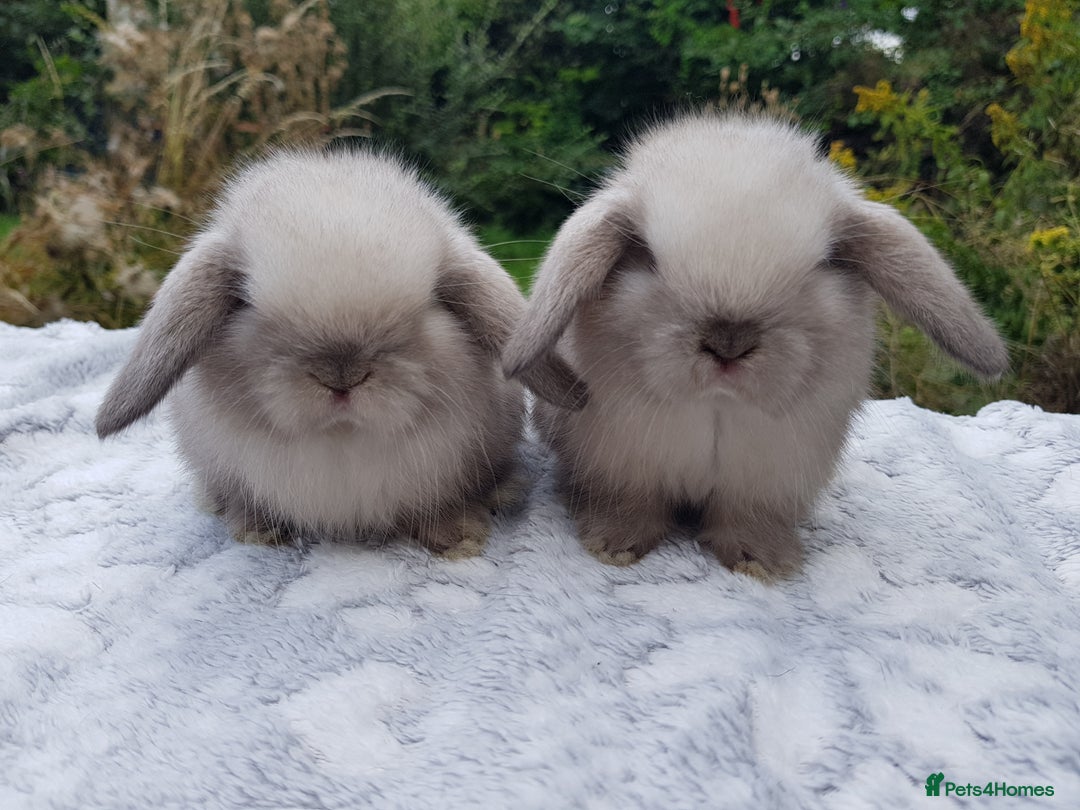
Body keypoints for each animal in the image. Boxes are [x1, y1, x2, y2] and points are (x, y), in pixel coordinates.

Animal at [96, 148, 576, 557]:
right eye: (244, 301)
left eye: (433, 301)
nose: (342, 377)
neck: (342, 441)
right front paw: (258, 531)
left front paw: (460, 538)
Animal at [503, 113, 1009, 577]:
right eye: (644, 255)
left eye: (826, 261)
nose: (729, 344)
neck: (718, 406)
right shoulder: (621, 468)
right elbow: (630, 505)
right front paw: (614, 546)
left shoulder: (766, 483)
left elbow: (747, 519)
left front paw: (761, 562)